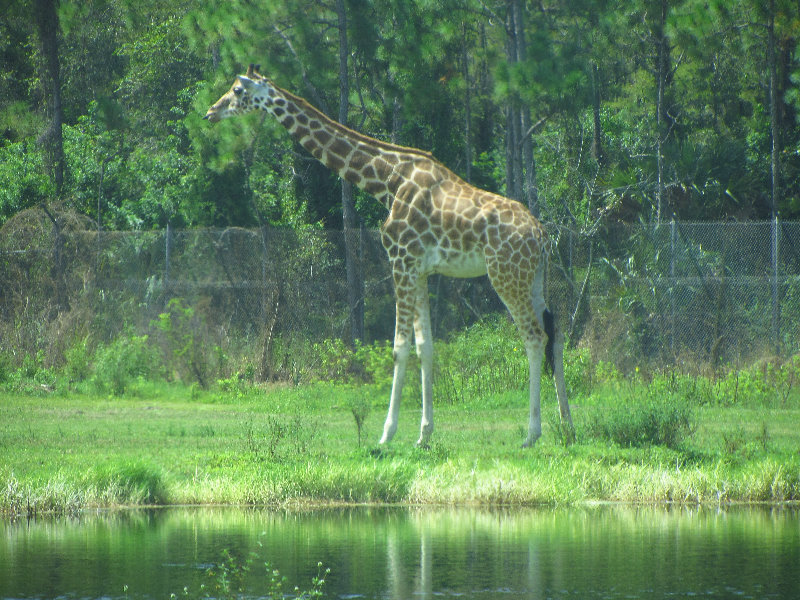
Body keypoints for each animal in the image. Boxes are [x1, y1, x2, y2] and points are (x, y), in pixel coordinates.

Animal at [203, 64, 572, 446]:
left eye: (237, 90)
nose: (211, 112)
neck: (386, 181)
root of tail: (543, 237)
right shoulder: (420, 269)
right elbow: (426, 347)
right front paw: (424, 435)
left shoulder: (400, 261)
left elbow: (399, 348)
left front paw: (386, 434)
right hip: (534, 278)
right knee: (556, 333)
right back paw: (567, 426)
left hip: (506, 276)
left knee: (534, 337)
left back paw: (532, 433)